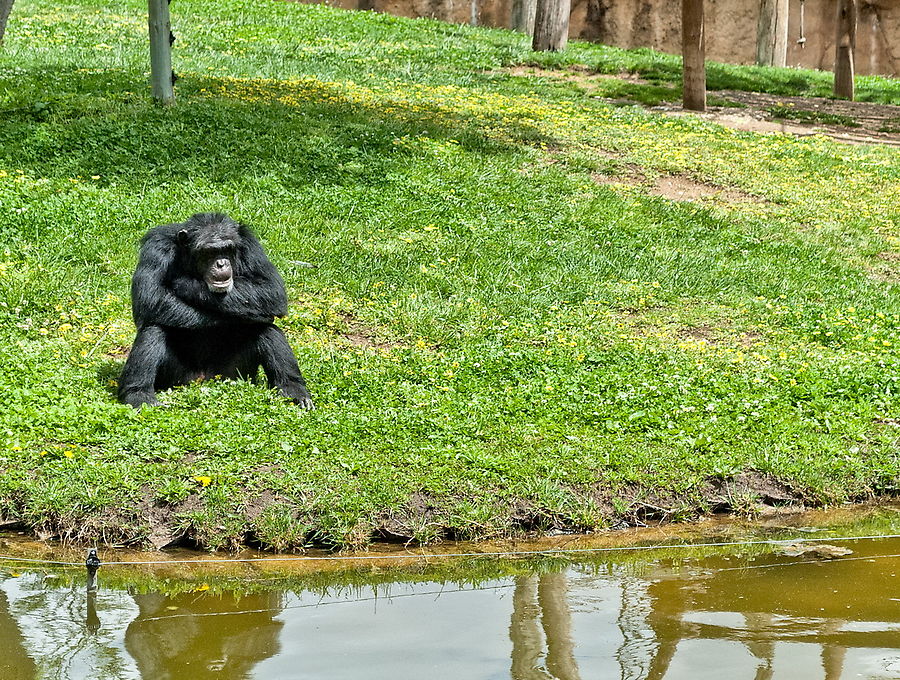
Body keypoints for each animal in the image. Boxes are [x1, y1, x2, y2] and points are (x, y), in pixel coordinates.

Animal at [116, 212, 314, 410]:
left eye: (226, 249)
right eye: (209, 252)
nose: (221, 263)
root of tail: (205, 379)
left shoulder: (251, 245)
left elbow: (270, 289)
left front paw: (186, 283)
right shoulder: (156, 246)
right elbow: (150, 297)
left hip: (236, 373)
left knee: (267, 329)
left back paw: (293, 389)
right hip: (177, 378)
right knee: (153, 330)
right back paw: (139, 395)